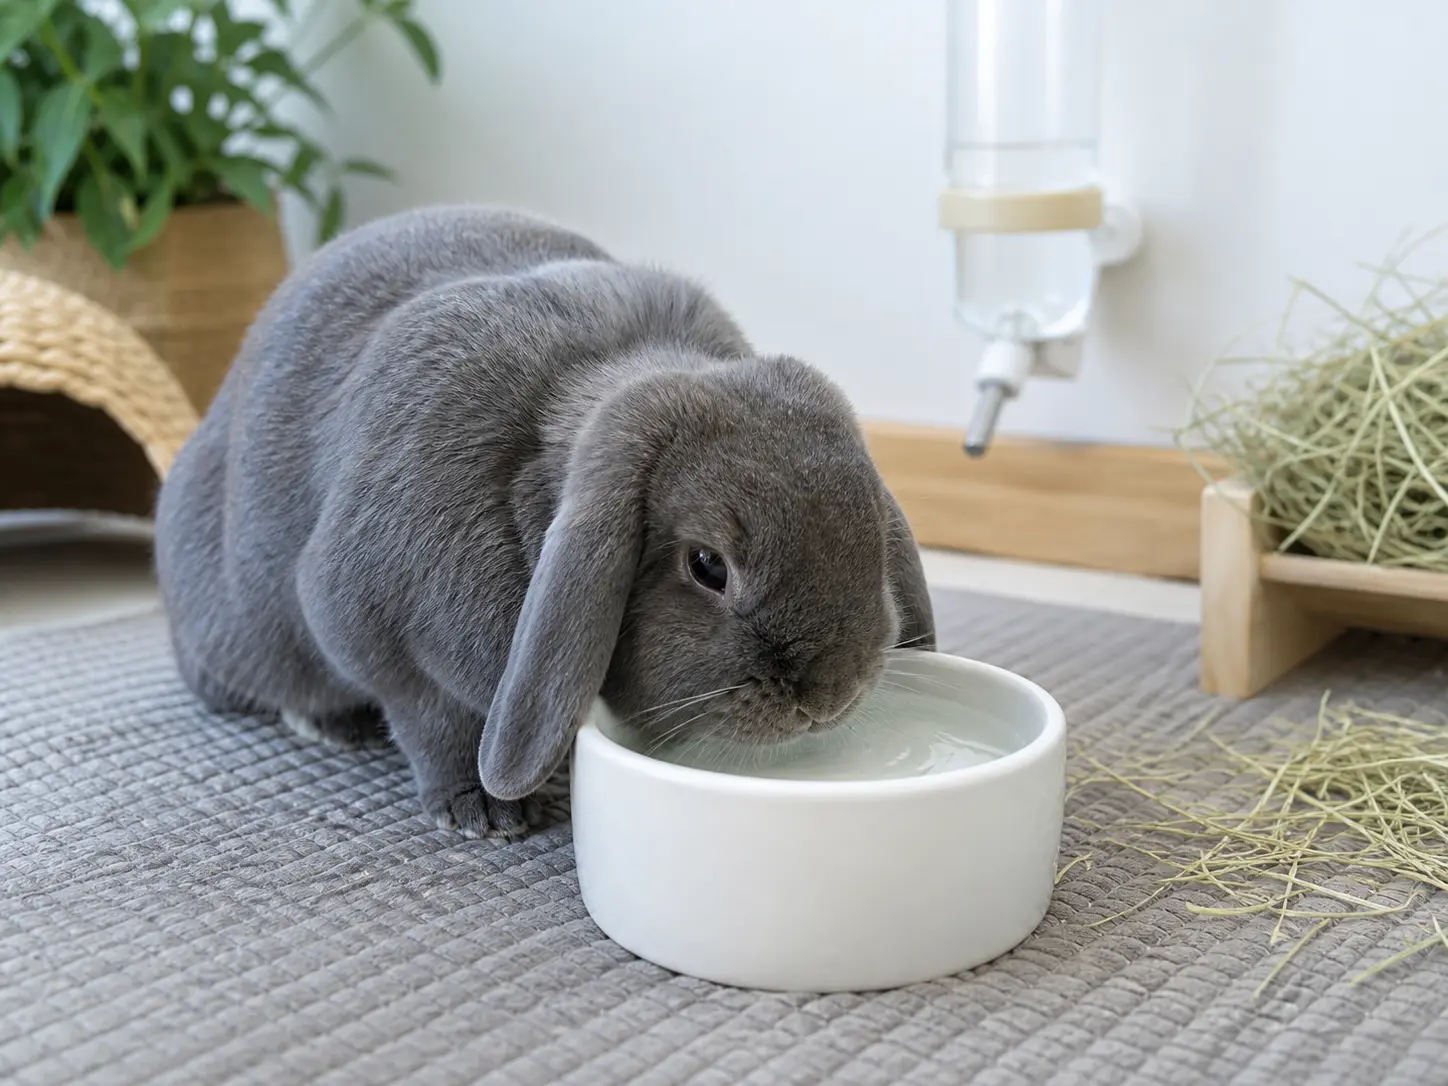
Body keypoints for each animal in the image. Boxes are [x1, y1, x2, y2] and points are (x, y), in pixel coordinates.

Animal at [154, 205, 935, 839]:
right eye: (708, 566)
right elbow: (430, 721)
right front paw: (485, 812)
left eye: (870, 529)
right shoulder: (377, 633)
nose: (832, 692)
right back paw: (330, 724)